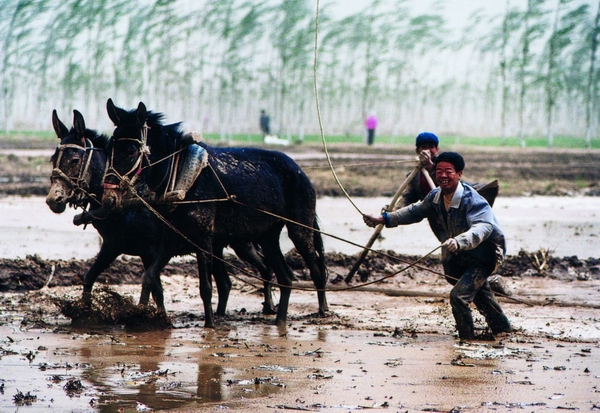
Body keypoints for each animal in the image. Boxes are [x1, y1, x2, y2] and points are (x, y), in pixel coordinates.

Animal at [46, 109, 276, 316]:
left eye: (75, 160)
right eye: (53, 158)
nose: (53, 200)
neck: (128, 205)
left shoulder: (149, 250)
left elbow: (156, 288)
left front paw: (155, 318)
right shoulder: (113, 245)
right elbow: (90, 277)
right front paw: (82, 310)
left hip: (241, 241)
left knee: (264, 267)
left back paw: (269, 307)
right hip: (216, 245)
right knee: (226, 283)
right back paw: (221, 315)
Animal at [103, 98, 328, 326]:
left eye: (131, 151)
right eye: (109, 147)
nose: (109, 197)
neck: (181, 175)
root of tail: (299, 169)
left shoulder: (203, 238)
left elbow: (206, 287)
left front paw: (210, 325)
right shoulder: (173, 237)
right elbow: (149, 276)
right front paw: (140, 314)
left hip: (299, 228)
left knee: (316, 269)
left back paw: (322, 310)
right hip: (268, 235)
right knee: (285, 277)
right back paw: (280, 319)